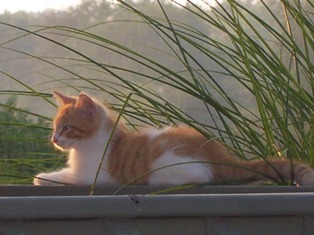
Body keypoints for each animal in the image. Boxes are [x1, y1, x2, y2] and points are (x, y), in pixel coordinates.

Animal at [33, 91, 314, 186]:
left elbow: (63, 177)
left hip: (168, 164)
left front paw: (43, 176)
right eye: (54, 128)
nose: (55, 139)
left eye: (67, 128)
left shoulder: (94, 176)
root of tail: (220, 155)